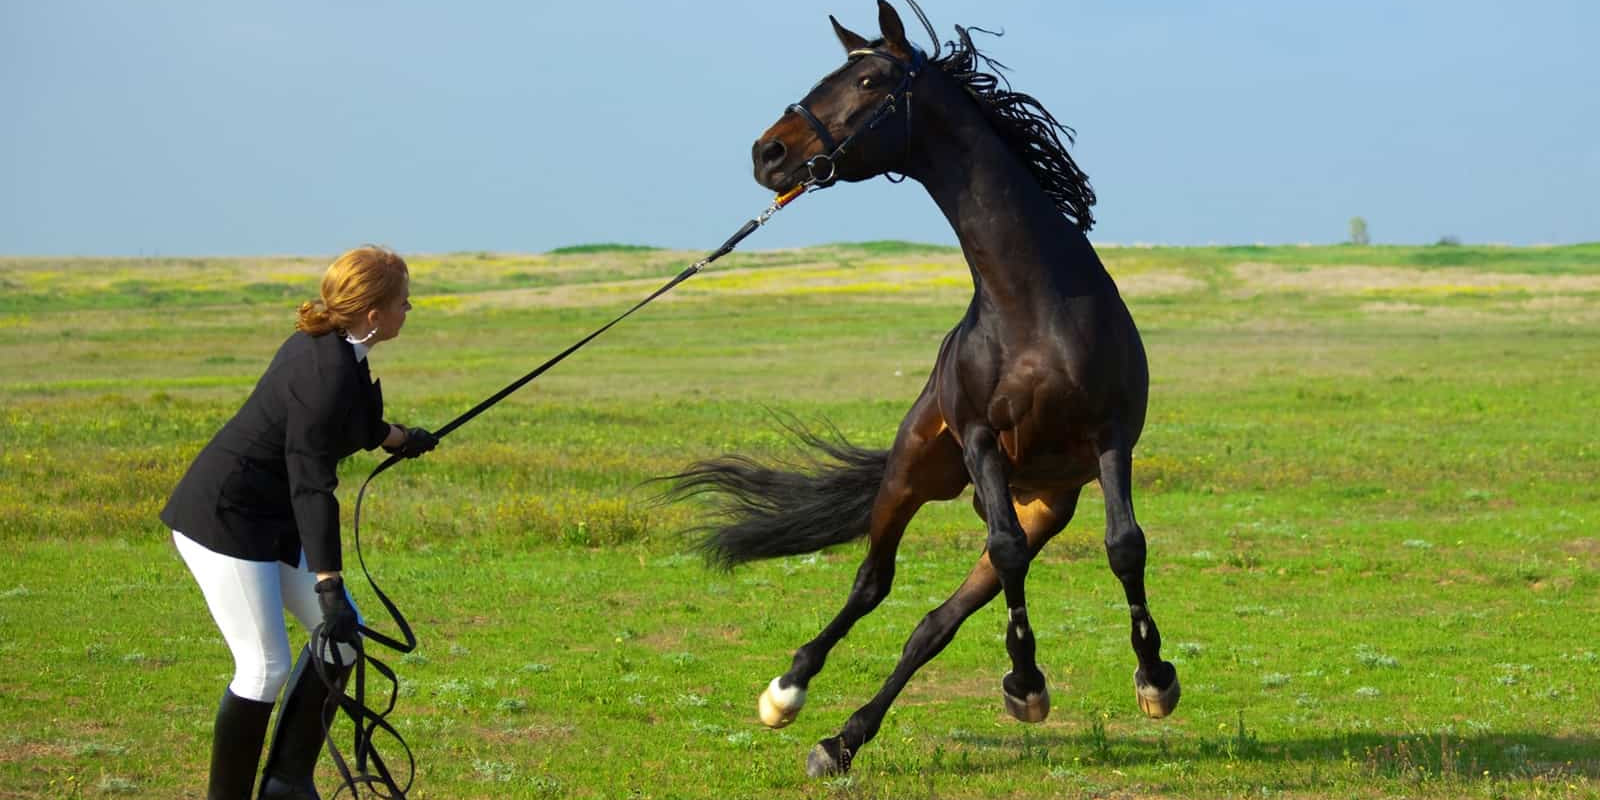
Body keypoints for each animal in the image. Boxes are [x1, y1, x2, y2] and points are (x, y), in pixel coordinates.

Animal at [662, 0, 1177, 774]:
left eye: (869, 79)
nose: (768, 153)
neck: (1033, 304)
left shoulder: (1109, 435)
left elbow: (1124, 545)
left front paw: (1153, 678)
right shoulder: (981, 439)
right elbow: (1004, 552)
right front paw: (1026, 683)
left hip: (1043, 504)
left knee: (934, 624)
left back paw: (841, 740)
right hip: (912, 472)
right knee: (872, 582)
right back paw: (789, 693)